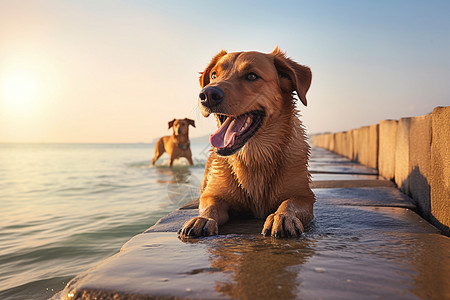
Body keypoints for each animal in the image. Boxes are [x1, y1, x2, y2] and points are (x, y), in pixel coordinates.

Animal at [178, 48, 314, 238]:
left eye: (251, 76)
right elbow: (210, 206)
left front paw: (281, 216)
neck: (254, 157)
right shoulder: (213, 194)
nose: (207, 95)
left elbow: (289, 203)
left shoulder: (304, 196)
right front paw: (202, 219)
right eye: (213, 75)